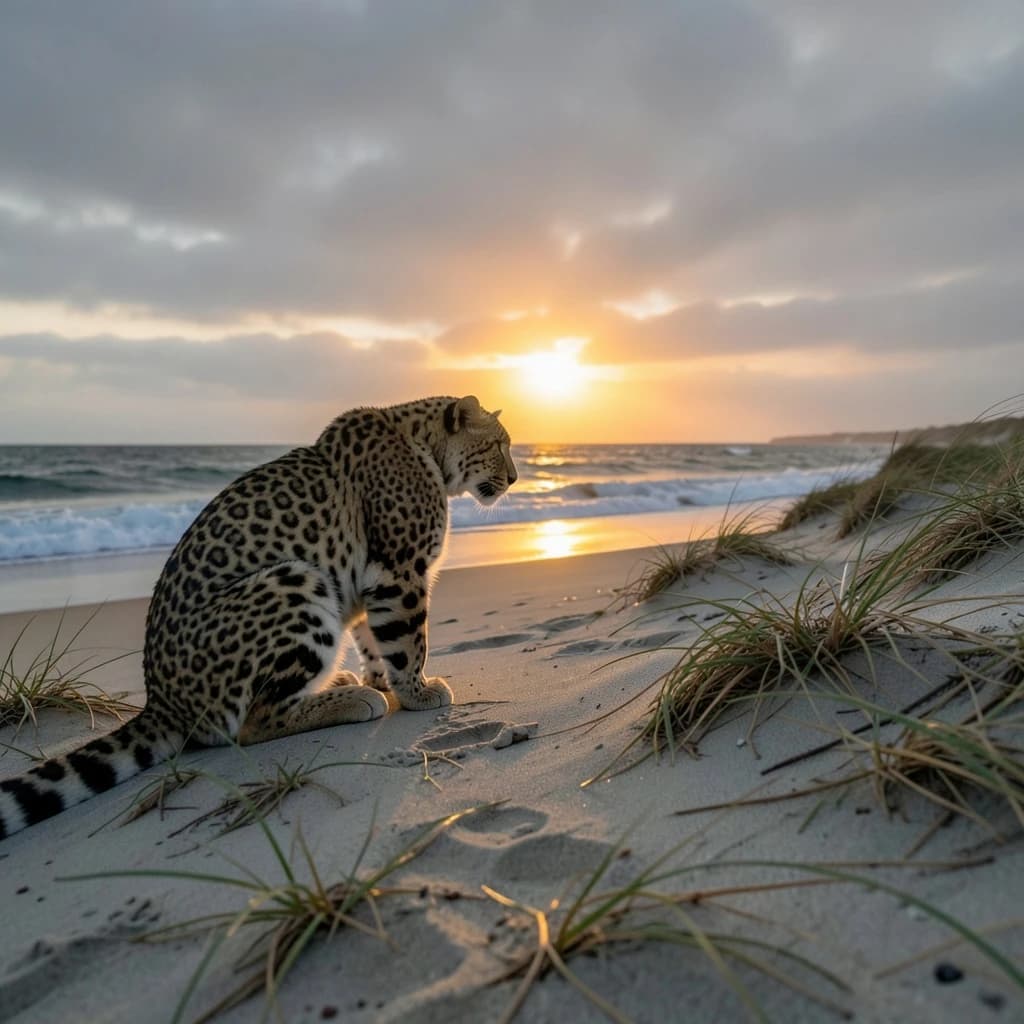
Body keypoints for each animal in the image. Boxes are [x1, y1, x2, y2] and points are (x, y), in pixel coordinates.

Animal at [0, 395, 516, 839]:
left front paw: (383, 680)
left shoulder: (371, 579)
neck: (427, 448)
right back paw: (353, 700)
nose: (513, 478)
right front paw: (417, 692)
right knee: (254, 720)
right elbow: (407, 640)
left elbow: (374, 638)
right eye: (498, 445)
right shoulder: (398, 570)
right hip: (296, 580)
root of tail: (161, 702)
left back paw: (344, 684)